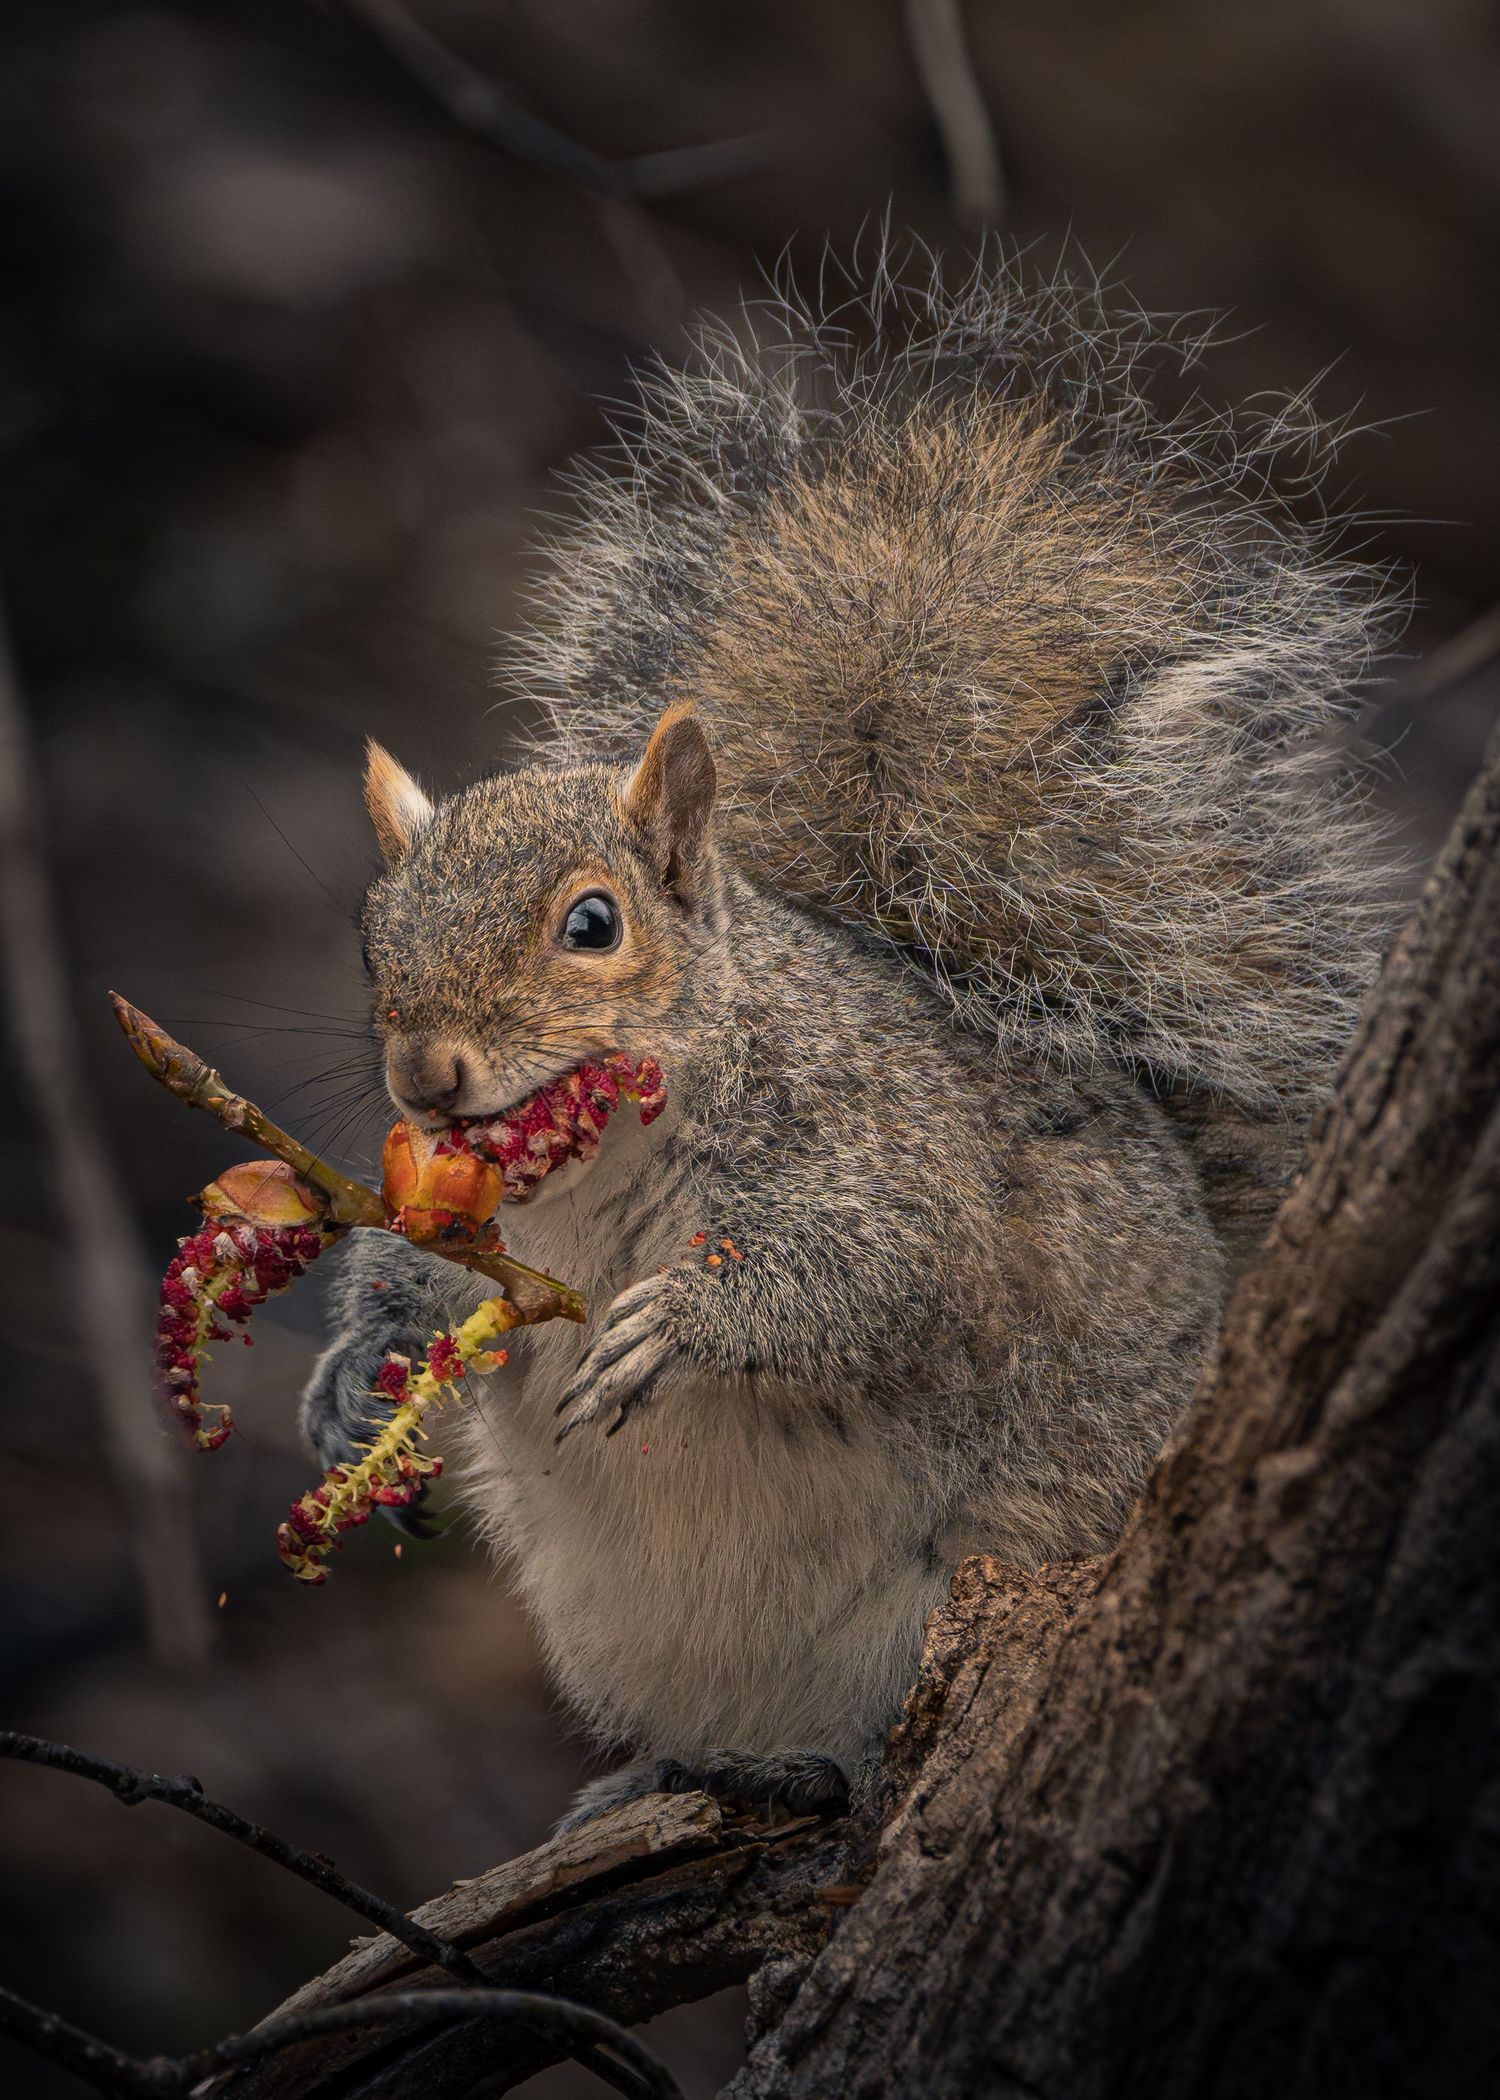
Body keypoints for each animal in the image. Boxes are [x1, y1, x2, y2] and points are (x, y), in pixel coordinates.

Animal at [303, 254, 1397, 1828]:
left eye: (593, 924)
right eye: (372, 925)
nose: (426, 1075)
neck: (592, 1165)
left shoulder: (896, 1154)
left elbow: (881, 1271)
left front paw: (688, 1320)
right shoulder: (462, 1209)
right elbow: (410, 1273)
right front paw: (350, 1376)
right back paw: (672, 1773)